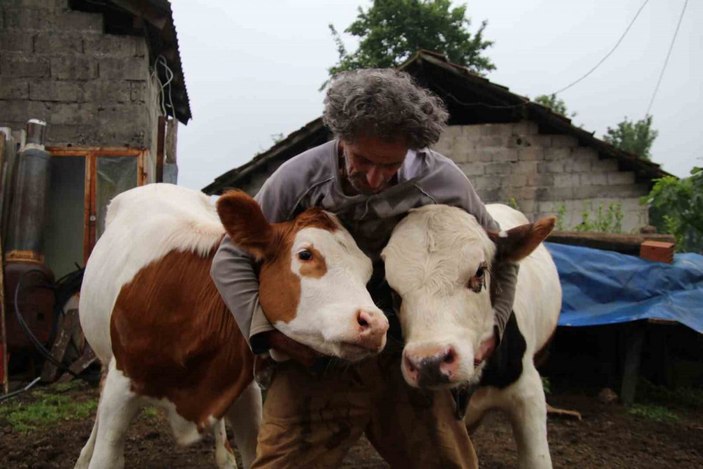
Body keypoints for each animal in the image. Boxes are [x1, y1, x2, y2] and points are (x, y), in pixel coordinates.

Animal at [77, 183, 390, 468]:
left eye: (367, 270)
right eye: (305, 254)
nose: (376, 324)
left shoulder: (244, 387)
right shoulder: (121, 385)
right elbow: (105, 457)